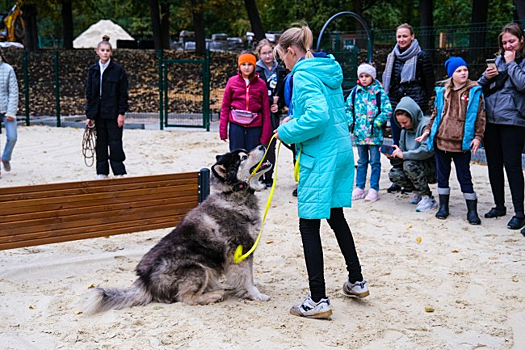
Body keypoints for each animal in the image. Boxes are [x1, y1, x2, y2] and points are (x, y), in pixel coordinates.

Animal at [84, 146, 272, 314]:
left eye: (245, 152)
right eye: (243, 157)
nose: (262, 146)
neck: (232, 196)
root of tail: (145, 282)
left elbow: (249, 274)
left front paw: (254, 285)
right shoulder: (240, 251)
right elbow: (246, 277)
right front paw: (255, 294)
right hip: (198, 269)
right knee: (186, 298)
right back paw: (214, 295)